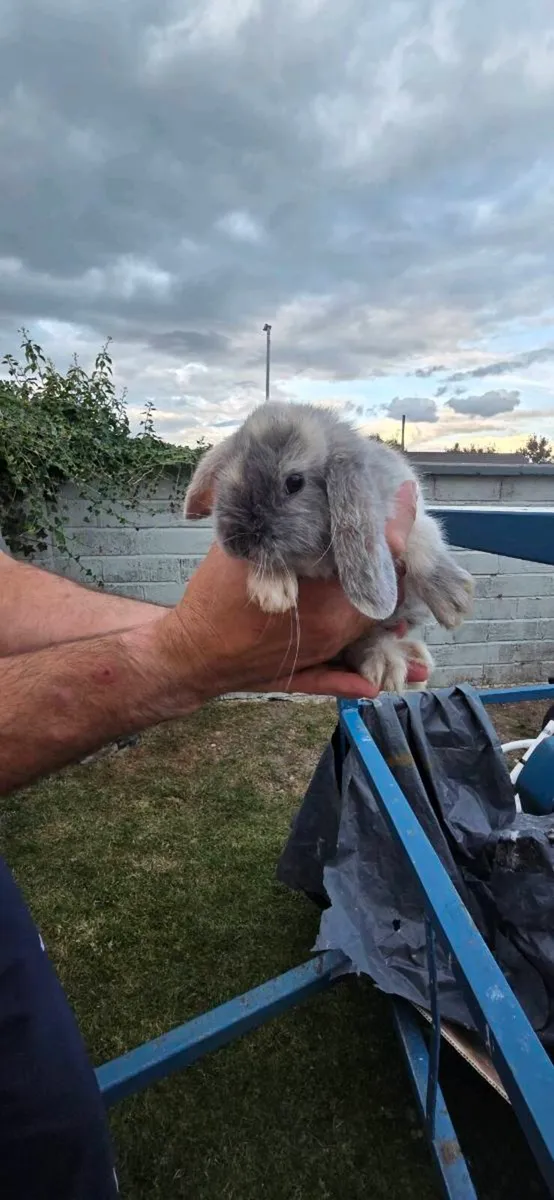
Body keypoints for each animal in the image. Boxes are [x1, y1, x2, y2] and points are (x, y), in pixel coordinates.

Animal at [183, 401, 474, 693]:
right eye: (225, 477)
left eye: (294, 482)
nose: (236, 544)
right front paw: (273, 592)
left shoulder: (408, 511)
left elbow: (422, 543)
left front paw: (454, 602)